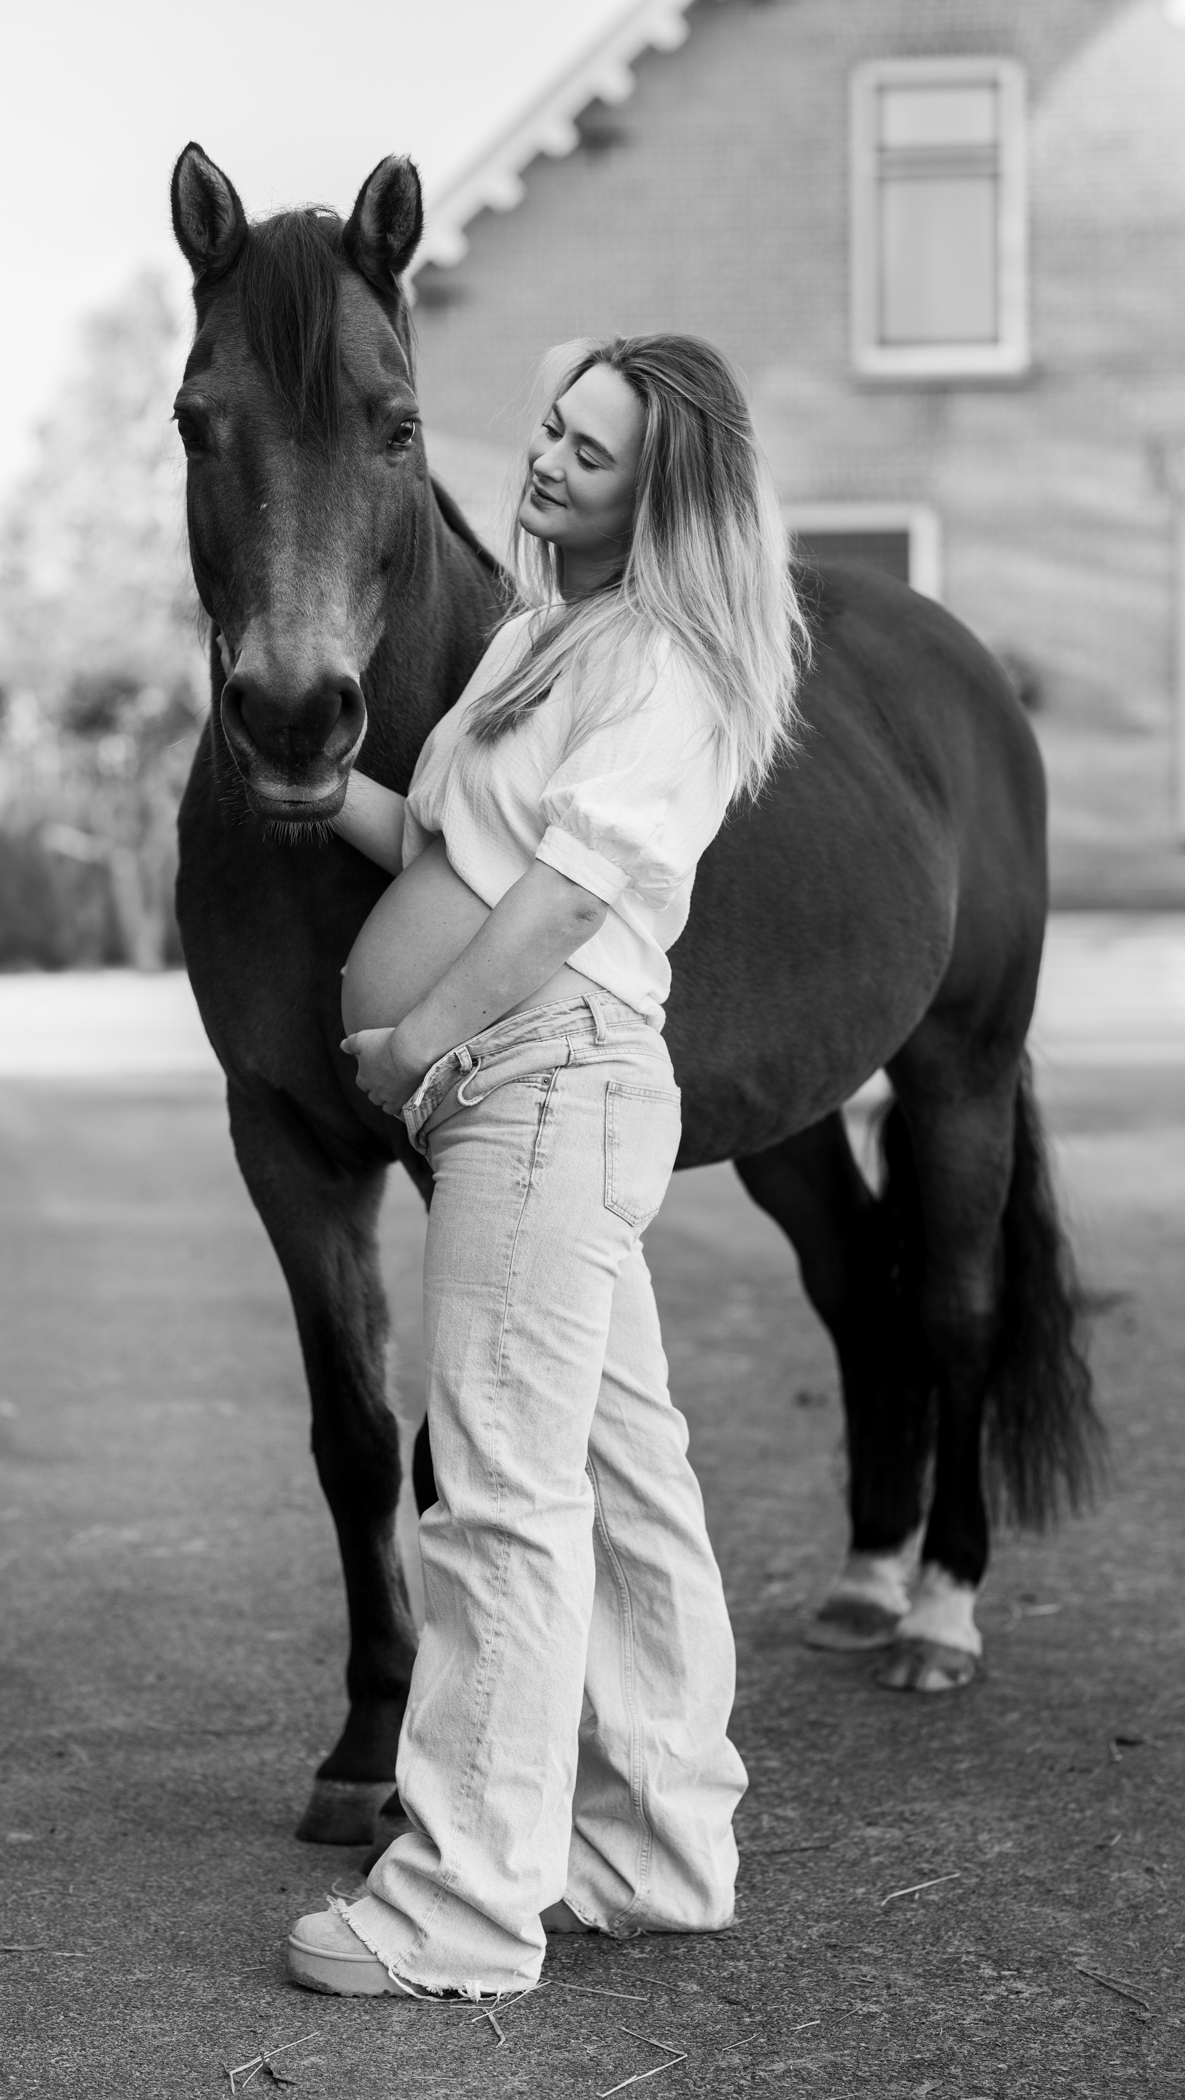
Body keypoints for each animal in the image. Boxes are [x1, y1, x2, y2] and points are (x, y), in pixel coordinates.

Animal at [169, 142, 1102, 1848]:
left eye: (398, 423)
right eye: (198, 419)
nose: (292, 720)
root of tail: (960, 672)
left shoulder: (455, 1146)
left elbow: (447, 1450)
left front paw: (447, 1758)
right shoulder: (281, 1144)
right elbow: (355, 1441)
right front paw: (364, 1746)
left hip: (961, 1072)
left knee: (950, 1304)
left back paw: (940, 1611)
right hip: (788, 1121)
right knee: (858, 1290)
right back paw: (866, 1583)